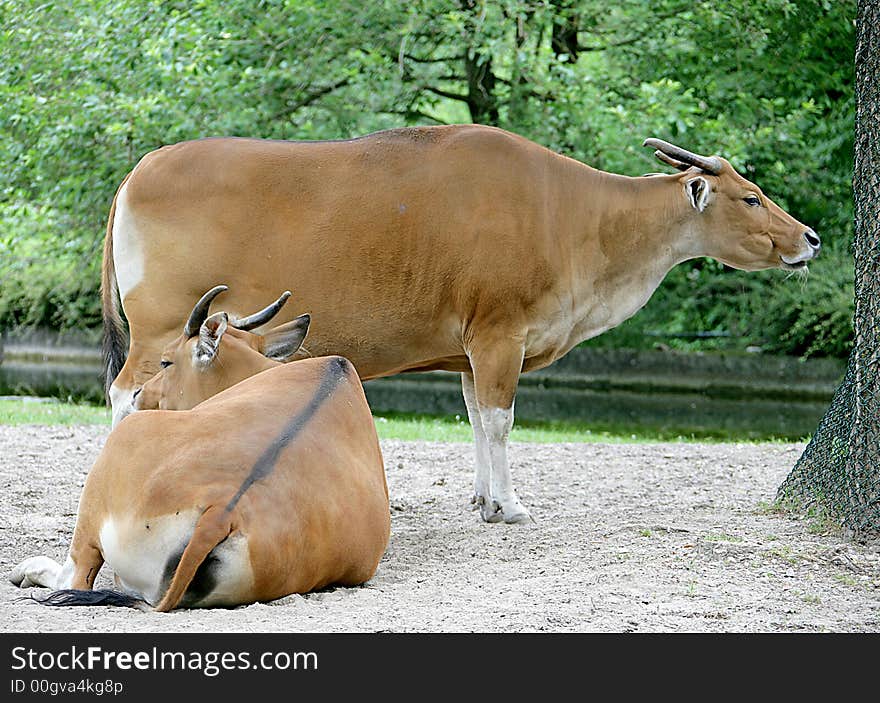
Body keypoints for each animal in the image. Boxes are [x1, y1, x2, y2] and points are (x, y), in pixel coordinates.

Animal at [10, 288, 388, 612]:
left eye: (165, 362)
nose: (139, 395)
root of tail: (221, 512)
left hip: (109, 470)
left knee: (74, 577)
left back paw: (28, 569)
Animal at [99, 126, 820, 524]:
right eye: (751, 197)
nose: (810, 238)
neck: (571, 212)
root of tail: (137, 172)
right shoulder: (501, 335)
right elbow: (501, 421)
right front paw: (509, 505)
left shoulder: (472, 350)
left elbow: (475, 419)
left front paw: (481, 499)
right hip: (160, 332)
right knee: (126, 396)